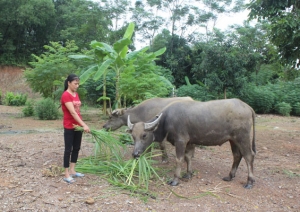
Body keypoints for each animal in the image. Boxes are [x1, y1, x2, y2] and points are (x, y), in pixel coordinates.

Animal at [126, 99, 255, 189]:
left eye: (144, 135)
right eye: (133, 136)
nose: (135, 154)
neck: (166, 120)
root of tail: (247, 107)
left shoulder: (181, 141)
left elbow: (179, 159)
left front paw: (175, 180)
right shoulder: (189, 142)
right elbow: (188, 157)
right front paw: (188, 174)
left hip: (243, 138)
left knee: (249, 156)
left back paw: (249, 181)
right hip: (233, 140)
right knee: (237, 155)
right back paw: (230, 176)